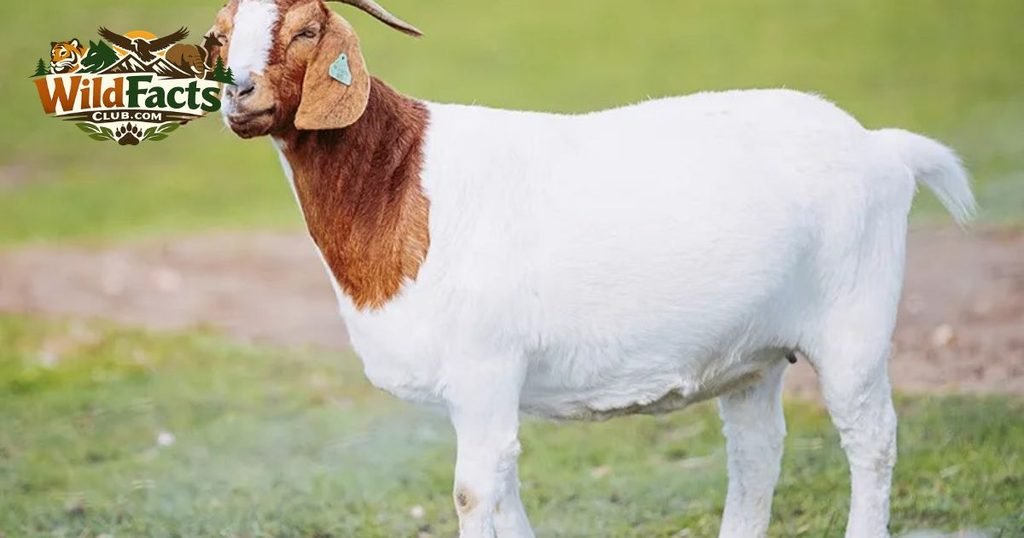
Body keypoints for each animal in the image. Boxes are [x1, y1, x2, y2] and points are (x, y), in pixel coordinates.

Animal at [210, 1, 976, 536]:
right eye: (218, 38)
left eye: (307, 30)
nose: (238, 93)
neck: (402, 183)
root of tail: (882, 146)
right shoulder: (485, 392)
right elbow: (504, 494)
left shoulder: (485, 370)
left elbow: (473, 493)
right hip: (753, 356)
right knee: (757, 453)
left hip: (854, 327)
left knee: (871, 441)